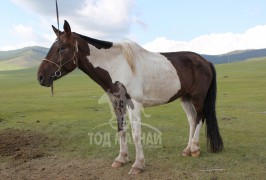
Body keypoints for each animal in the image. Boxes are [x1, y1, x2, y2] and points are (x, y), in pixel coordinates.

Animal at [37, 20, 222, 175]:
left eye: (61, 48)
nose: (40, 77)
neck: (118, 65)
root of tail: (205, 61)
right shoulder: (117, 103)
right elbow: (121, 130)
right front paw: (121, 158)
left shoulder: (134, 104)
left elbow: (136, 133)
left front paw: (138, 165)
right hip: (186, 98)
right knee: (192, 119)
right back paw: (187, 149)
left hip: (197, 98)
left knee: (199, 118)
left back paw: (195, 149)